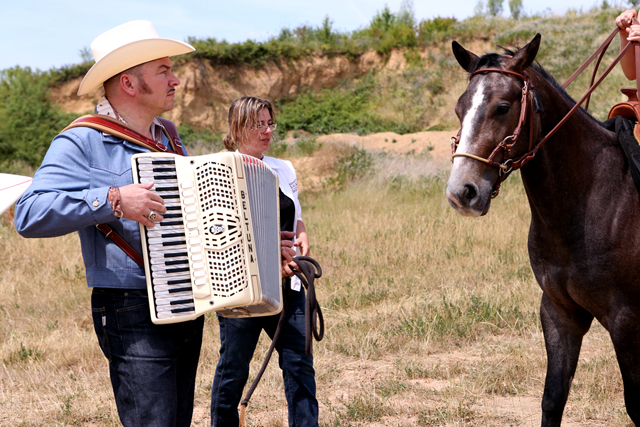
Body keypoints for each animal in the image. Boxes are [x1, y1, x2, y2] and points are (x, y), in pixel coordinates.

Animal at [448, 34, 640, 427]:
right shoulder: (558, 312)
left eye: (502, 107)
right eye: (460, 109)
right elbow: (552, 399)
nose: (462, 192)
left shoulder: (626, 319)